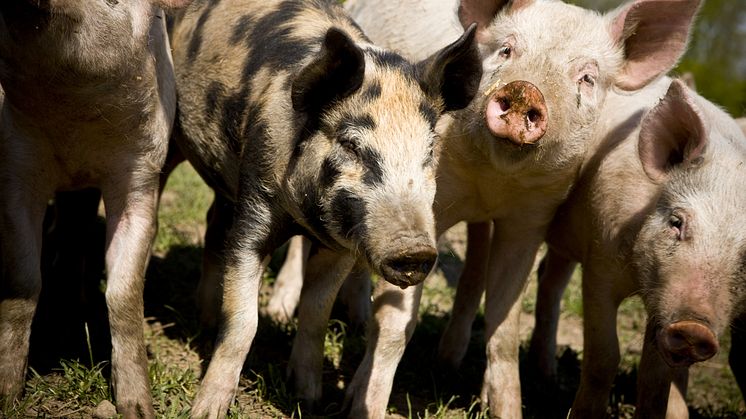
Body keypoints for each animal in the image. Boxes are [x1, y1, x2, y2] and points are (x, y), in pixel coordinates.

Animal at [0, 0, 189, 416]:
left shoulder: (141, 174)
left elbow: (125, 294)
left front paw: (138, 408)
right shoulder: (15, 170)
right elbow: (23, 285)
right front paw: (5, 396)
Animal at [167, 0, 482, 416]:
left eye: (429, 151)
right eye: (351, 145)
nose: (414, 249)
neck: (304, 217)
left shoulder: (340, 249)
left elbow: (316, 314)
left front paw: (308, 398)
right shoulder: (254, 206)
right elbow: (242, 321)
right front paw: (206, 411)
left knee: (214, 223)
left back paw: (203, 320)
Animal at [278, 0, 696, 416]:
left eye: (587, 77)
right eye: (506, 50)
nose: (525, 90)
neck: (493, 180)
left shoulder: (530, 220)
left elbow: (503, 329)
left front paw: (507, 408)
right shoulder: (427, 205)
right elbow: (397, 321)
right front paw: (362, 404)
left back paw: (429, 353)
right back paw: (288, 311)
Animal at [524, 78, 744, 416]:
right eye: (677, 222)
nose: (695, 328)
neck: (638, 280)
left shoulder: (664, 300)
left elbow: (655, 377)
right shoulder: (599, 262)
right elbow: (604, 357)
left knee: (549, 280)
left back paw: (546, 378)